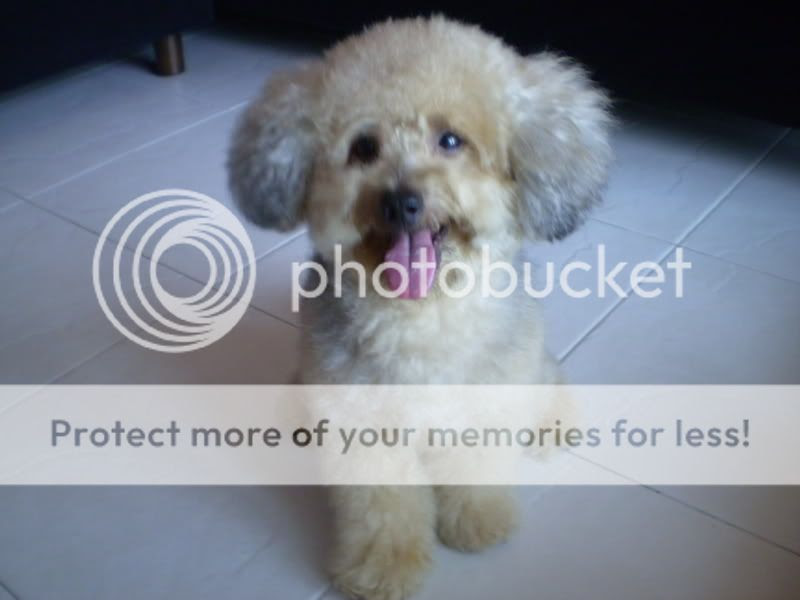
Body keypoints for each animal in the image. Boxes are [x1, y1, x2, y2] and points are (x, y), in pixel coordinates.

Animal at [228, 16, 611, 600]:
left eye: (450, 140)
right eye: (364, 147)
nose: (400, 200)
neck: (422, 316)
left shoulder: (485, 401)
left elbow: (476, 468)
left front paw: (477, 522)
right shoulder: (361, 424)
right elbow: (382, 506)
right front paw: (384, 566)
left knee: (547, 376)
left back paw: (552, 421)